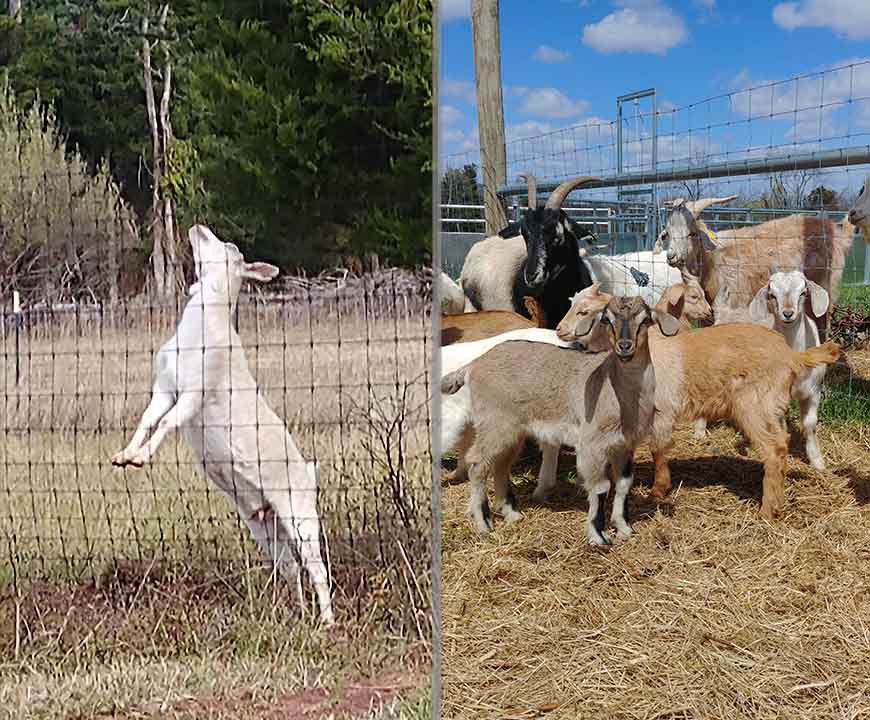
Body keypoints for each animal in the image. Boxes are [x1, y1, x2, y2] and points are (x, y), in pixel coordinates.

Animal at [110, 225, 336, 624]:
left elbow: (167, 423)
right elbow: (148, 420)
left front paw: (142, 458)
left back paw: (327, 621)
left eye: (230, 249)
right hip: (264, 525)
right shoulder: (164, 388)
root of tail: (310, 473)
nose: (198, 228)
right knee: (290, 567)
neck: (205, 322)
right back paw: (297, 613)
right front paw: (127, 455)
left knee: (317, 567)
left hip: (299, 513)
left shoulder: (194, 395)